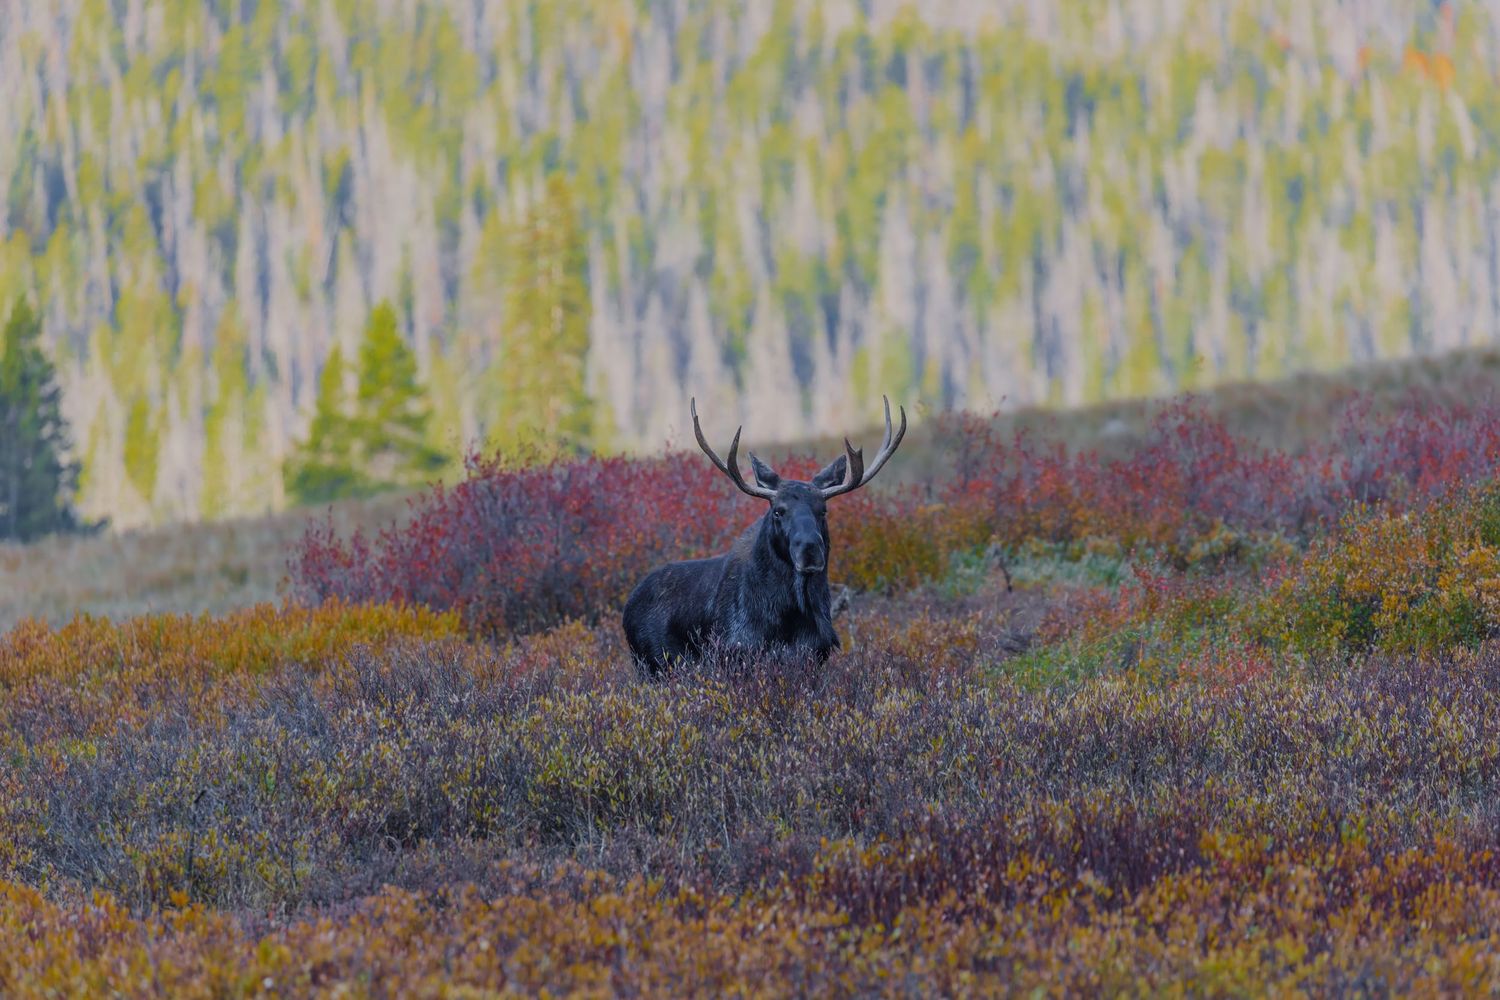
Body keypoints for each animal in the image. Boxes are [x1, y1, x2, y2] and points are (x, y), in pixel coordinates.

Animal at [622, 396, 907, 676]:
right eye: (778, 510)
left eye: (823, 510)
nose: (810, 550)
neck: (791, 611)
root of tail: (628, 606)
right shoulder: (737, 652)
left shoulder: (816, 653)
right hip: (654, 664)